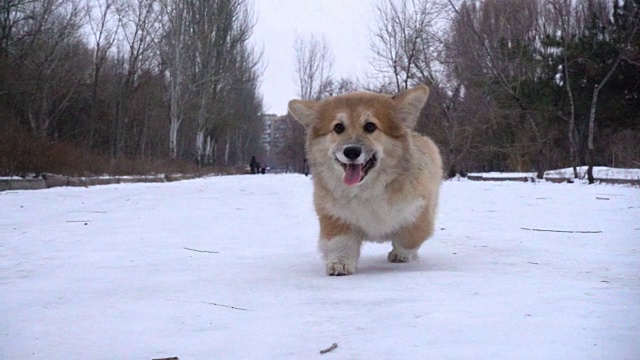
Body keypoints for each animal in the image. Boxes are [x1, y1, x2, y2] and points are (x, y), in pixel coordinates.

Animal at [288, 85, 442, 276]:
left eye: (370, 126)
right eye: (338, 127)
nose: (351, 151)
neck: (367, 189)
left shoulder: (419, 210)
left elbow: (409, 237)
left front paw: (400, 254)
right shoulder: (334, 215)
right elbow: (341, 243)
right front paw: (339, 264)